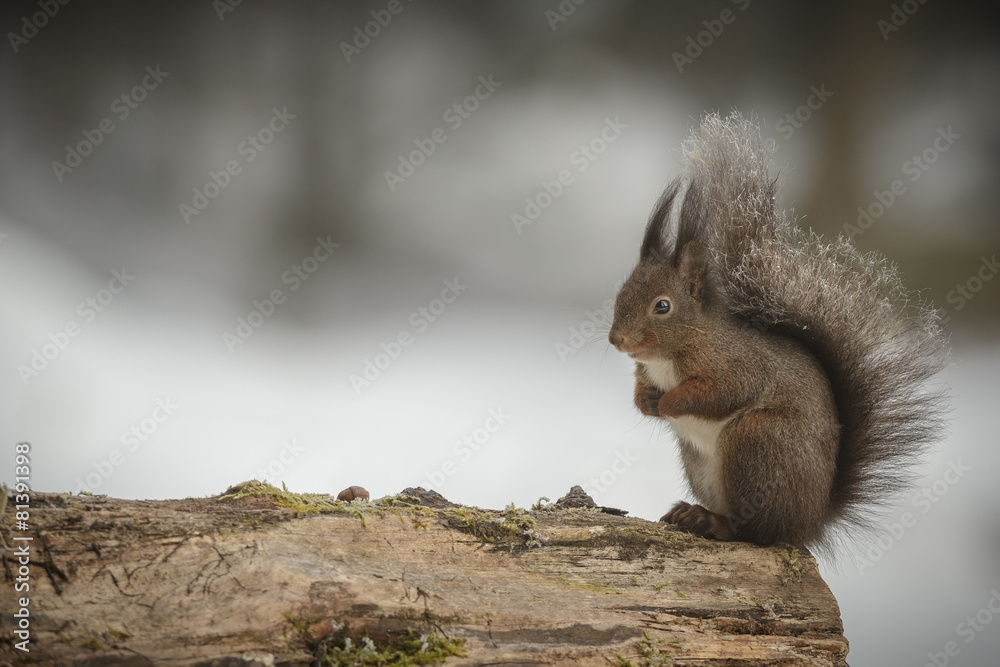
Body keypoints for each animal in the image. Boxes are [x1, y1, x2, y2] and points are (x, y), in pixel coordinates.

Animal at [608, 112, 949, 548]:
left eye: (662, 306)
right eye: (622, 292)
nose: (617, 340)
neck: (678, 347)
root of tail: (810, 523)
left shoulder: (736, 365)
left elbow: (723, 392)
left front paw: (668, 403)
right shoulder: (647, 369)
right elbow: (641, 388)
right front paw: (646, 401)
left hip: (757, 441)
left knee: (754, 532)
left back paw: (713, 522)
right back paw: (693, 513)